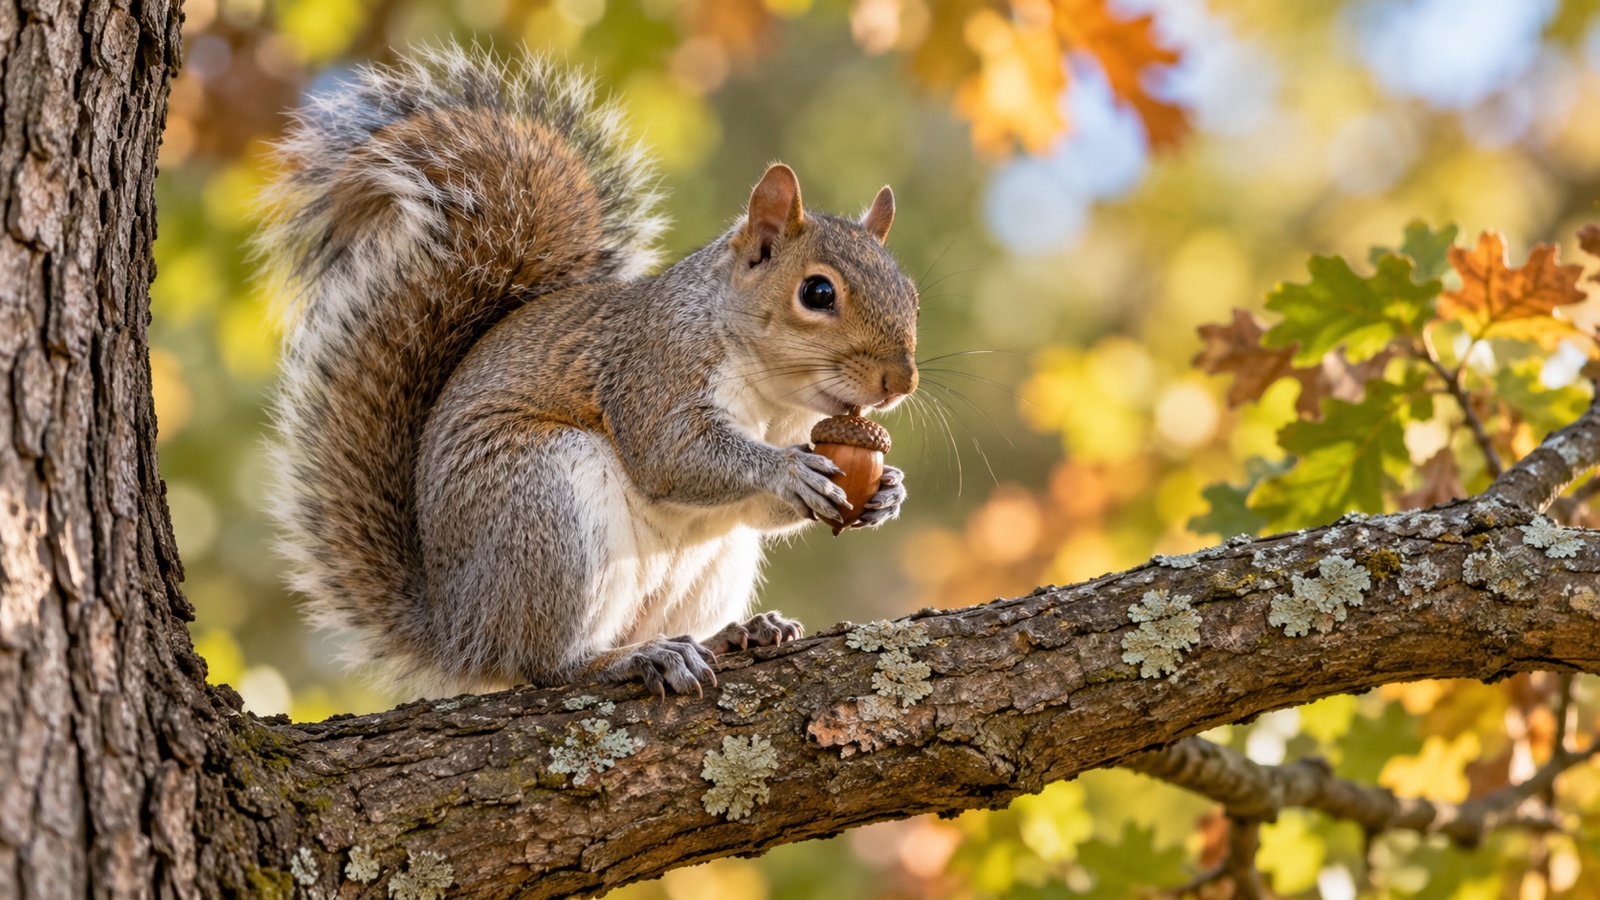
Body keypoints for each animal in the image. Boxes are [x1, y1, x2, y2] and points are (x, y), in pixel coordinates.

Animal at [261, 45, 920, 698]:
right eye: (817, 292)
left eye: (911, 294)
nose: (900, 383)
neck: (774, 396)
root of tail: (456, 627)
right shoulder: (654, 366)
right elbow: (671, 454)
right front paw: (786, 471)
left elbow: (760, 508)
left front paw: (888, 491)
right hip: (545, 506)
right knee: (545, 664)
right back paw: (629, 658)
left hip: (711, 561)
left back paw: (733, 634)